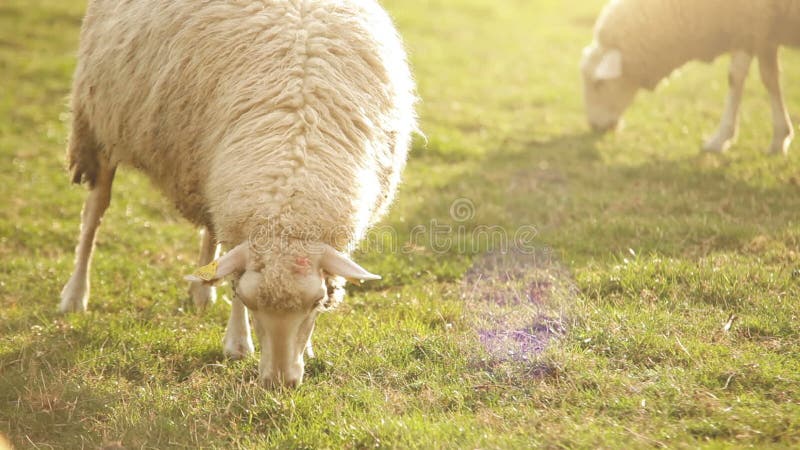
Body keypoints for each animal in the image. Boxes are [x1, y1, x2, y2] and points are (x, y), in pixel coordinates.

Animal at [59, 0, 416, 386]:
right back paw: (75, 296)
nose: (279, 383)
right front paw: (238, 343)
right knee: (94, 213)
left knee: (211, 231)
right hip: (98, 122)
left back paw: (202, 291)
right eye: (248, 301)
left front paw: (306, 349)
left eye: (316, 303)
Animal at [580, 0, 800, 155]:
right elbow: (765, 76)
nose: (594, 126)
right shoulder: (759, 28)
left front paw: (720, 139)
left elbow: (741, 77)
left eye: (598, 83)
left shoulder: (752, 20)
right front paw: (780, 137)